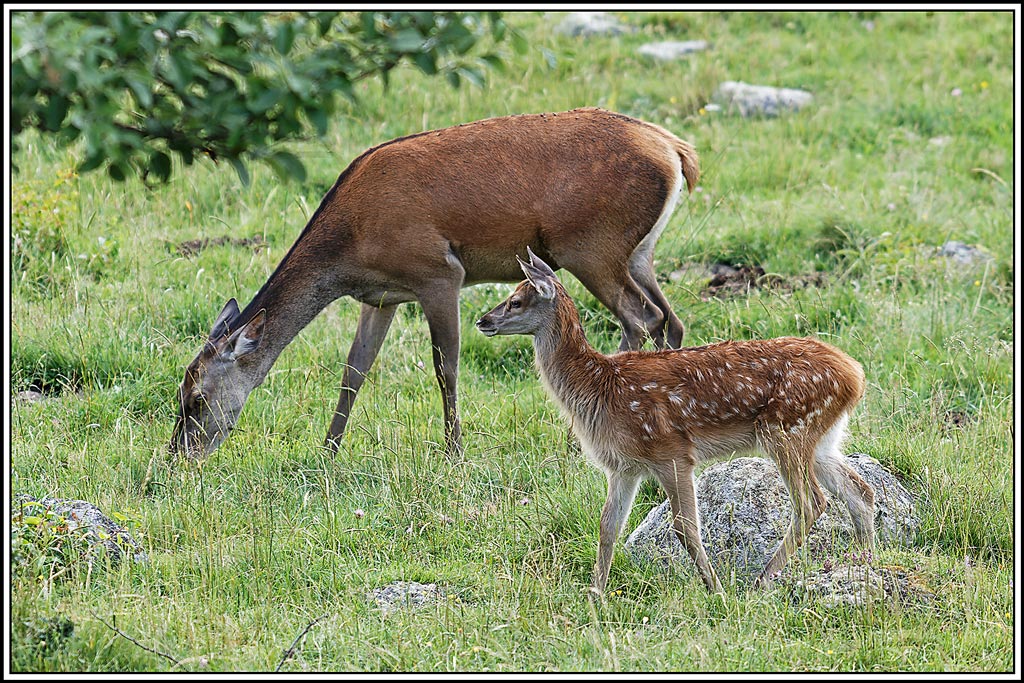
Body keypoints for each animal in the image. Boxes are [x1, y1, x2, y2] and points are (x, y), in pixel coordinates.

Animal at [169, 108, 700, 459]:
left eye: (196, 399)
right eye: (180, 392)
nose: (178, 457)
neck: (351, 245)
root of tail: (677, 152)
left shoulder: (439, 272)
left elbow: (447, 367)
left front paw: (454, 452)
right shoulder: (381, 296)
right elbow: (354, 370)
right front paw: (327, 452)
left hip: (591, 245)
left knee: (640, 317)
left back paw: (576, 440)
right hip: (638, 251)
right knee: (668, 318)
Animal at [475, 248, 875, 595]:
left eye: (516, 300)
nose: (483, 321)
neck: (598, 387)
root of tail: (855, 375)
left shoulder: (672, 452)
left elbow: (685, 529)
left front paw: (715, 589)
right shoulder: (623, 467)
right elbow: (608, 528)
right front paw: (595, 594)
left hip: (786, 428)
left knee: (811, 502)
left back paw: (762, 579)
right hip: (820, 436)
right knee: (860, 489)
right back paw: (867, 560)